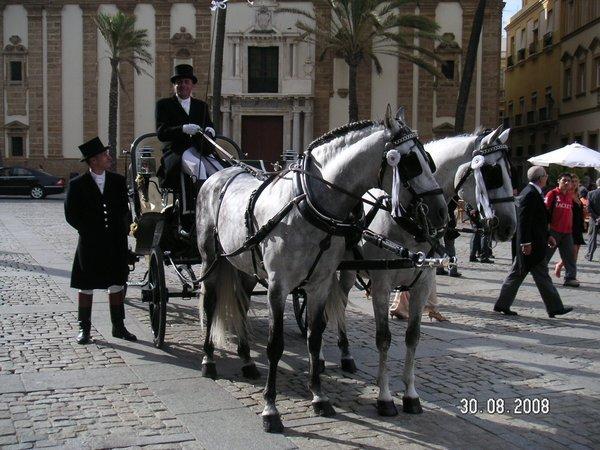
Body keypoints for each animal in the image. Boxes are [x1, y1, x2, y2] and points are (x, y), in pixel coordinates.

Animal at [195, 106, 448, 432]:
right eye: (411, 162)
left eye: (429, 159)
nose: (441, 212)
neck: (310, 205)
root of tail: (221, 173)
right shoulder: (278, 286)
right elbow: (275, 345)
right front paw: (271, 409)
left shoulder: (320, 283)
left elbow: (316, 336)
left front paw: (319, 396)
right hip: (211, 260)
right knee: (211, 303)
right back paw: (209, 360)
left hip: (245, 266)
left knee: (240, 303)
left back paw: (248, 361)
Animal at [338, 125, 516, 416]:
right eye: (492, 173)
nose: (511, 226)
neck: (407, 222)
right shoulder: (382, 285)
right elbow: (383, 338)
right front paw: (385, 397)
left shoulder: (422, 283)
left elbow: (413, 337)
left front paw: (410, 394)